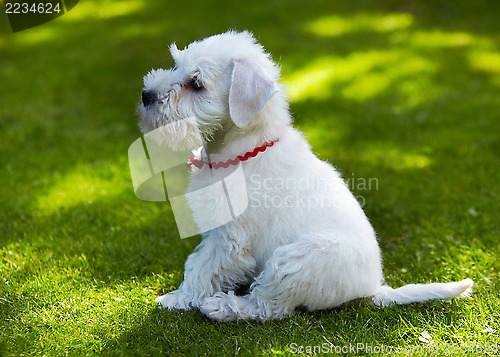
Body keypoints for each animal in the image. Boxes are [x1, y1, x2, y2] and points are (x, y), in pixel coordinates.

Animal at [137, 29, 472, 320]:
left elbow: (201, 269)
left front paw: (176, 299)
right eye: (176, 65)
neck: (240, 153)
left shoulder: (230, 240)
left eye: (196, 84)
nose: (146, 95)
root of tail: (373, 288)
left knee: (269, 307)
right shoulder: (216, 233)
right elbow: (197, 262)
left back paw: (224, 307)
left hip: (294, 260)